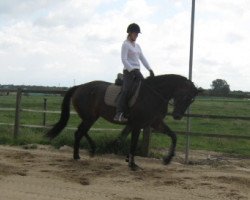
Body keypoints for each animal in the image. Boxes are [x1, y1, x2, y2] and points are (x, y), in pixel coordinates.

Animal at [45, 74, 201, 170]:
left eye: (191, 100)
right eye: (185, 97)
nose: (177, 116)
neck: (154, 94)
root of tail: (79, 87)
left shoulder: (155, 123)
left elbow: (173, 136)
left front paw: (167, 159)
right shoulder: (138, 124)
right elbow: (133, 142)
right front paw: (132, 164)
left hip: (90, 117)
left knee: (81, 131)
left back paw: (89, 151)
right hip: (90, 117)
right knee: (80, 132)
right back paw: (79, 155)